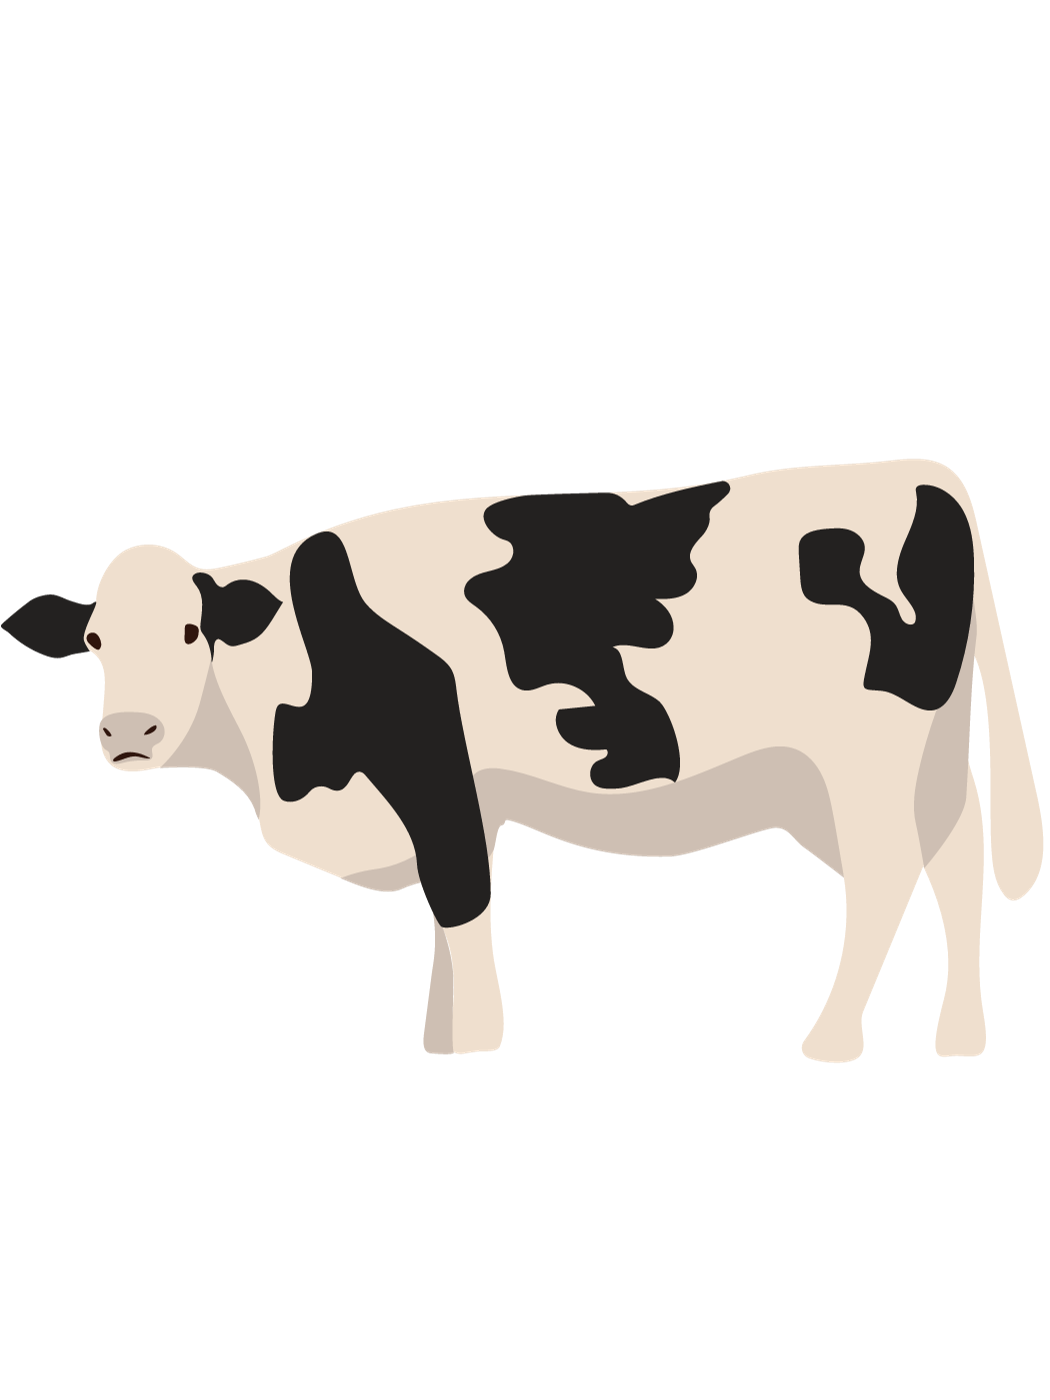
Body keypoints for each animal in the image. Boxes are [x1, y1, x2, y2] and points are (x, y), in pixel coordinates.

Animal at [3, 460, 1041, 1060]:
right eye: (93, 642)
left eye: (190, 632)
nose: (129, 732)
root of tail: (920, 470)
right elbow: (449, 912)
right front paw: (442, 1030)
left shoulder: (434, 767)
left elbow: (463, 901)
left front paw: (469, 1042)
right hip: (909, 764)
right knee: (954, 857)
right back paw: (959, 1035)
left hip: (864, 763)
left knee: (888, 877)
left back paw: (828, 1039)